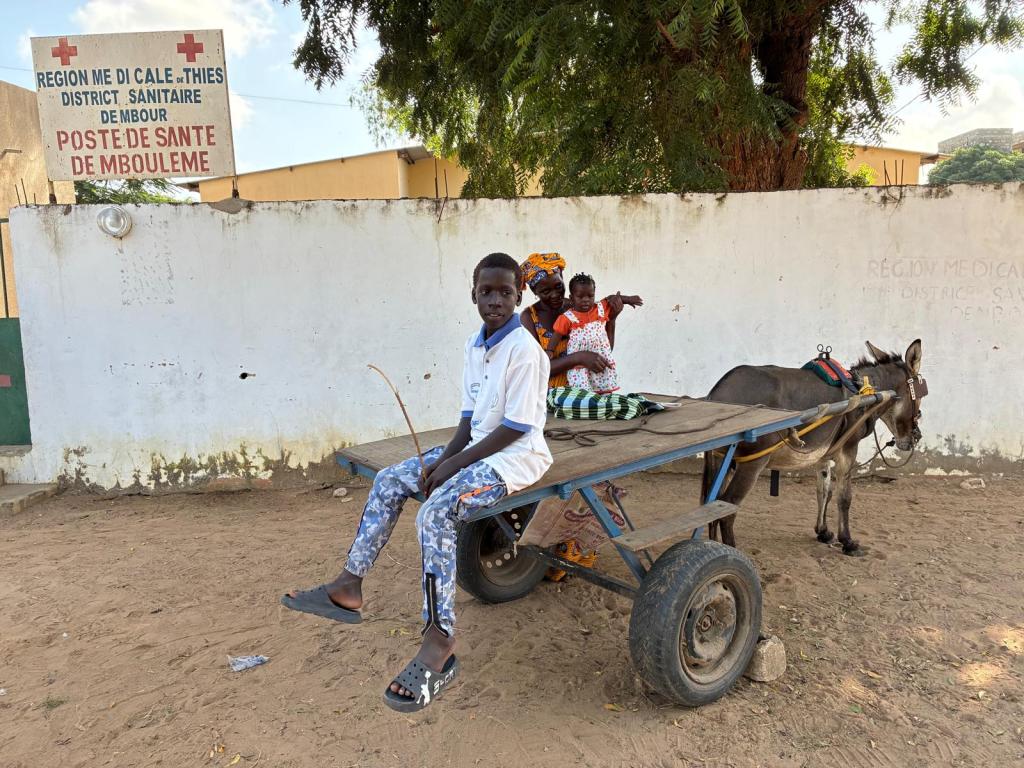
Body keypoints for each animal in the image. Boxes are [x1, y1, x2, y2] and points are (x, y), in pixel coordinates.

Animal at [701, 340, 926, 555]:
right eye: (921, 395)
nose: (916, 437)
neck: (864, 391)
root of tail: (718, 391)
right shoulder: (848, 451)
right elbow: (845, 497)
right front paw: (848, 542)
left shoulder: (823, 454)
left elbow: (824, 491)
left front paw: (823, 532)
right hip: (752, 462)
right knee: (728, 507)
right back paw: (731, 553)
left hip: (722, 459)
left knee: (711, 505)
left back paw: (712, 543)